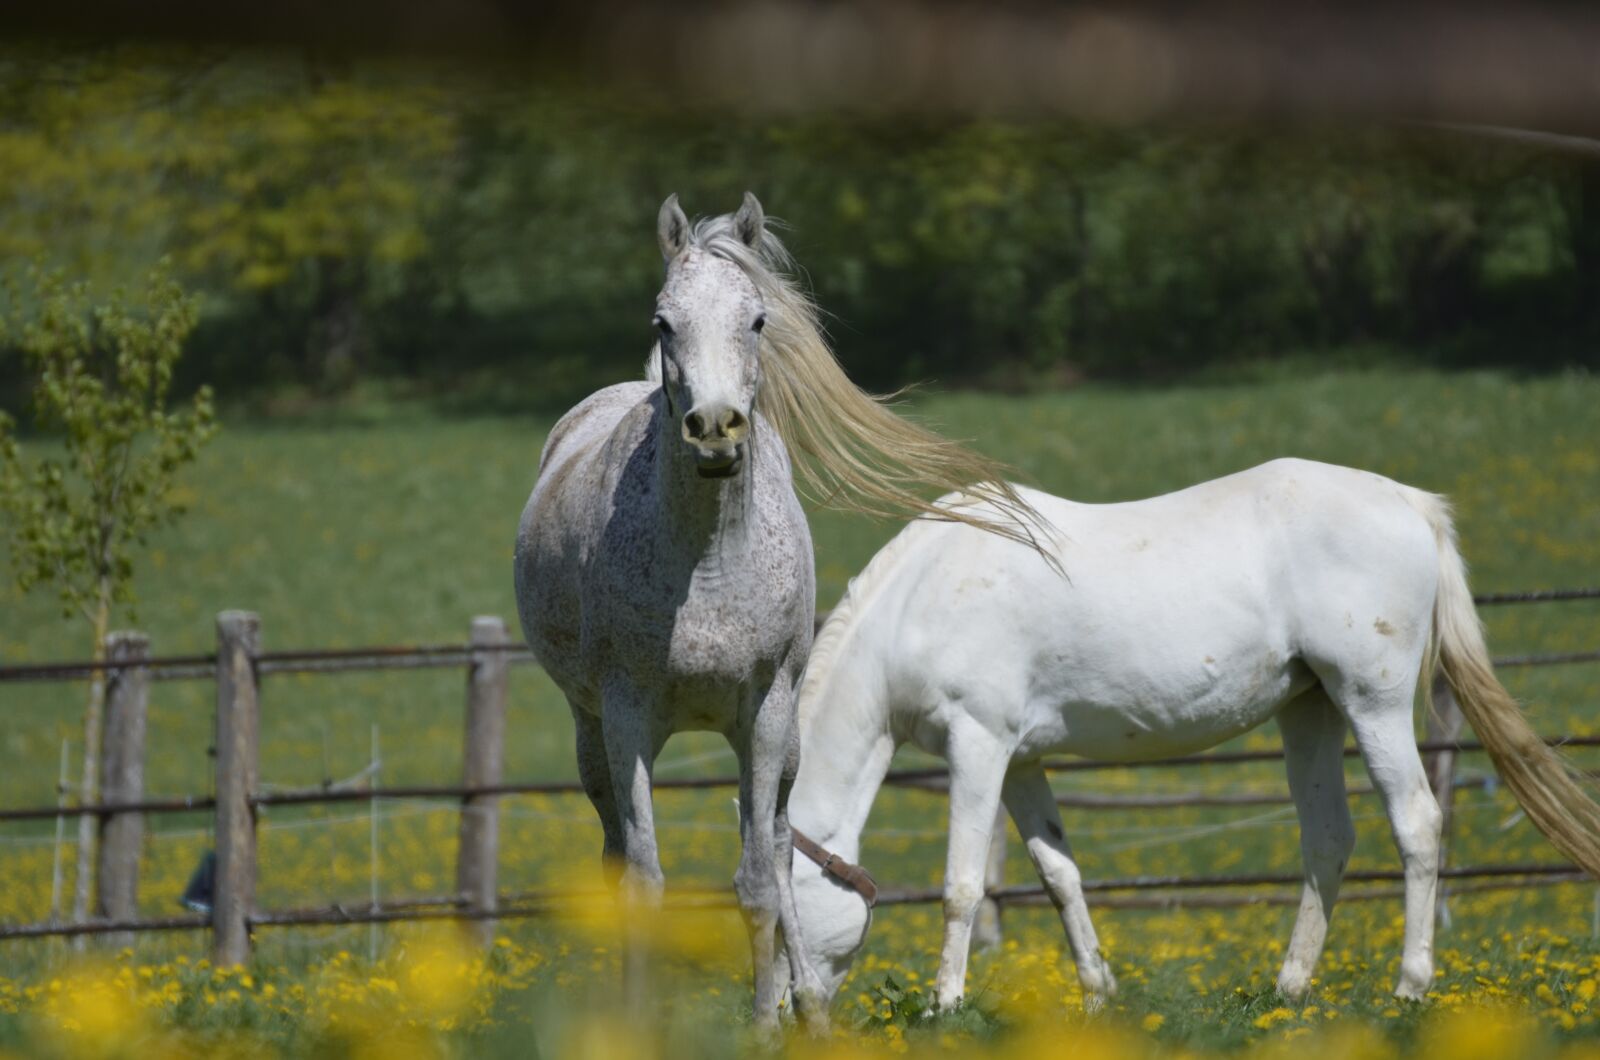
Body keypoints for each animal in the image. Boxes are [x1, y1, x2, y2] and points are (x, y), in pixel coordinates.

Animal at [513, 193, 1038, 1031]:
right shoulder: (628, 719)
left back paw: (810, 1009)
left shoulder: (763, 714)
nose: (714, 428)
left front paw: (767, 1023)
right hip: (590, 731)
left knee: (784, 845)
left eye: (757, 319)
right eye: (663, 321)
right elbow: (645, 881)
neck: (708, 564)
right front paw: (639, 1023)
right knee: (616, 854)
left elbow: (759, 877)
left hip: (776, 742)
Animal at [778, 459, 1600, 1014]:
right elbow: (1058, 875)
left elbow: (961, 887)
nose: (792, 1016)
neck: (921, 598)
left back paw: (1409, 986)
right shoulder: (1023, 762)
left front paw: (944, 1005)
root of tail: (1409, 501)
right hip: (1311, 710)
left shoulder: (979, 745)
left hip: (1374, 702)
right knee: (1328, 839)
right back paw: (1289, 990)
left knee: (1418, 826)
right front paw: (1098, 993)